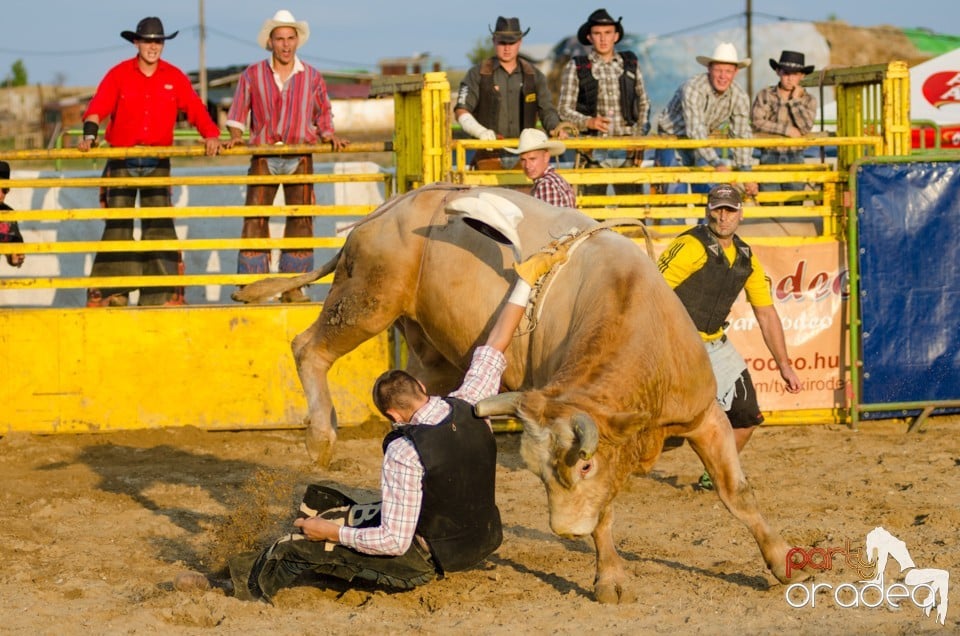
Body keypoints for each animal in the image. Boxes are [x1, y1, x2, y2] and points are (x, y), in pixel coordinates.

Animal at [236, 183, 800, 600]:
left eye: (584, 467)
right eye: (542, 475)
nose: (565, 532)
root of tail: (386, 209)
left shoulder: (705, 415)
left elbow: (737, 494)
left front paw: (781, 562)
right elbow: (606, 513)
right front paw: (610, 579)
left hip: (429, 350)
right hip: (368, 296)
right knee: (309, 347)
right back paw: (321, 438)